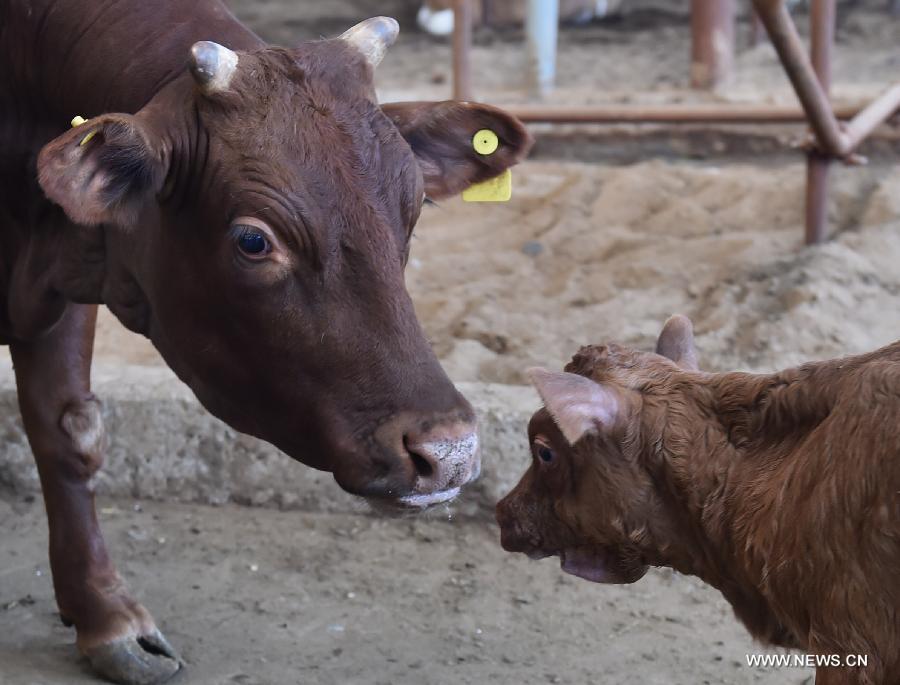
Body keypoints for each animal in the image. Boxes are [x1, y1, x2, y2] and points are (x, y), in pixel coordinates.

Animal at [0, 1, 531, 682]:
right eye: (254, 240)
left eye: (412, 211)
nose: (451, 451)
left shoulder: (64, 284)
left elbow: (70, 434)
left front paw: (104, 617)